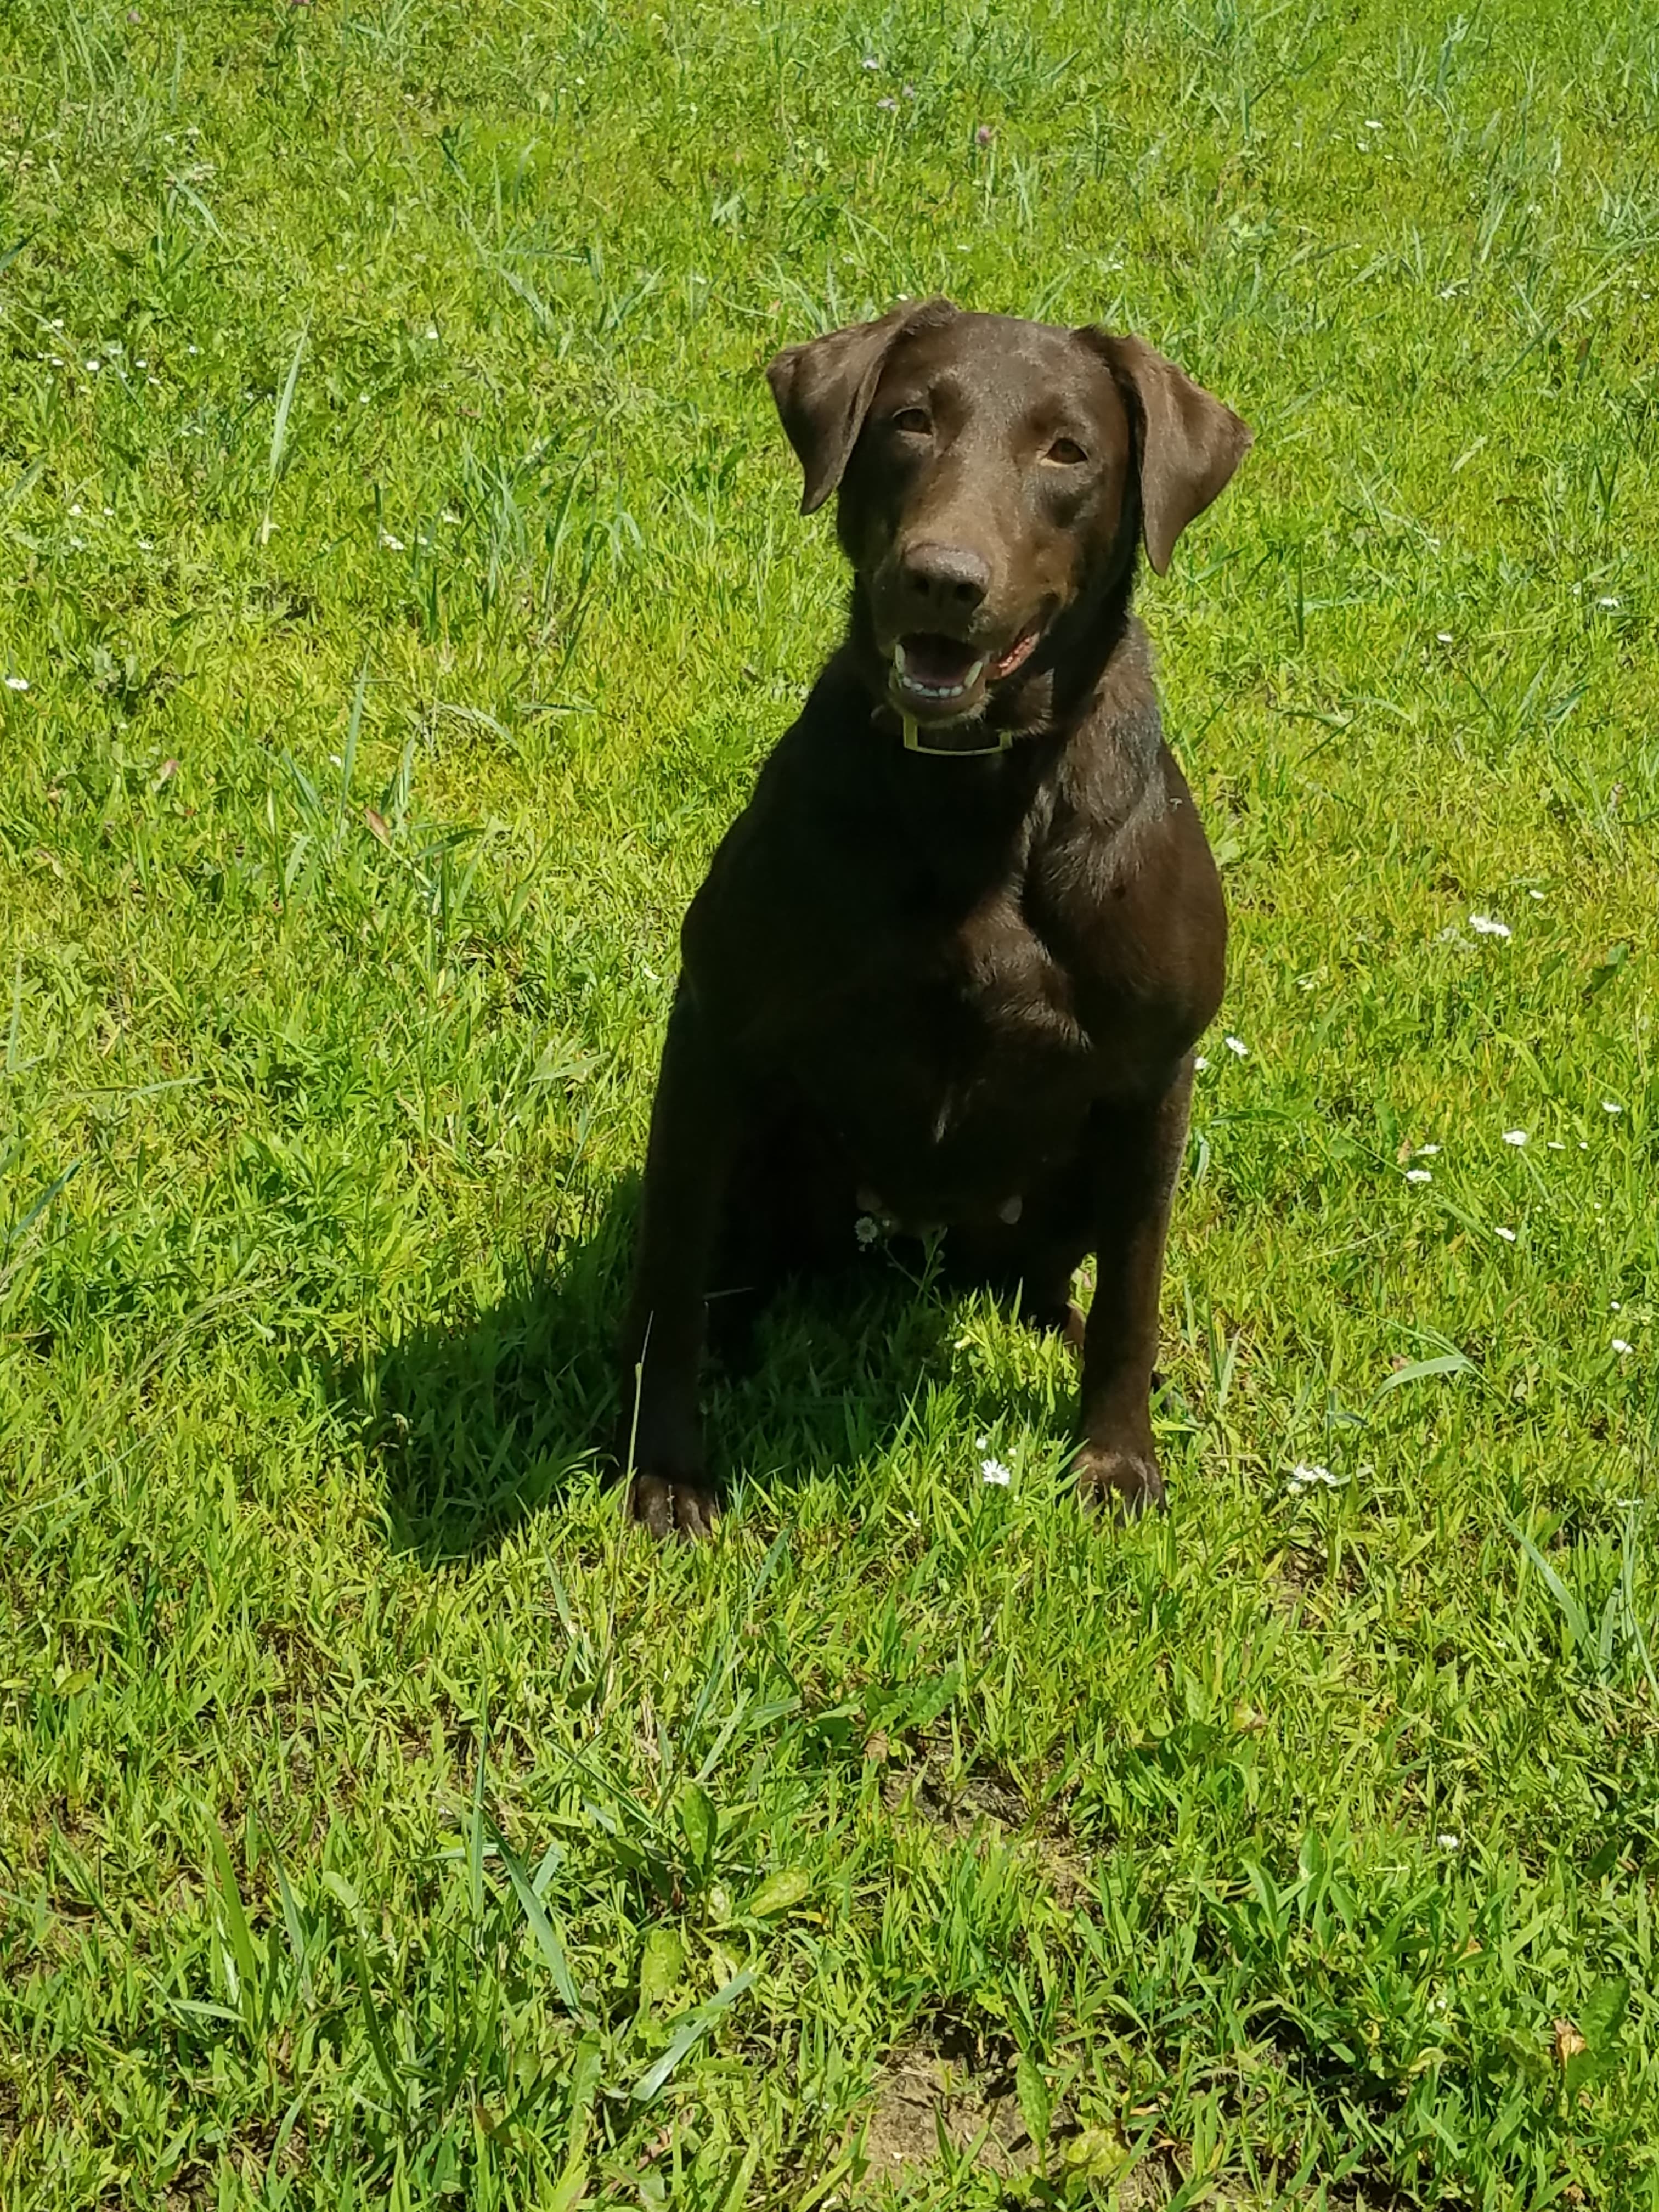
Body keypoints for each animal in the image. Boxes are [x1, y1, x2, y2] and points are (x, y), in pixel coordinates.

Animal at [619, 298, 1256, 1539]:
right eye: (911, 422)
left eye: (1068, 451)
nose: (941, 580)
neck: (978, 790)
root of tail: (909, 1247)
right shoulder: (715, 1031)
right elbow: (673, 1269)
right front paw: (665, 1462)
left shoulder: (1156, 1074)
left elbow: (1135, 1289)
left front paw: (1116, 1458)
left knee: (1061, 1280)